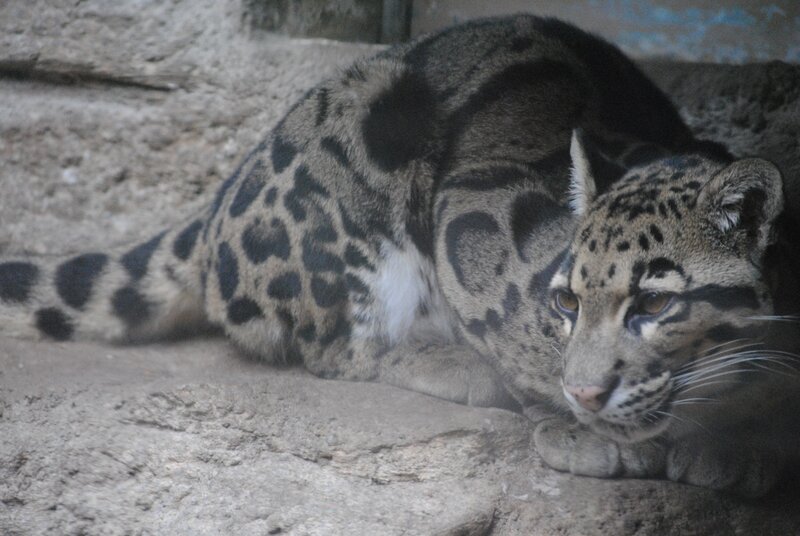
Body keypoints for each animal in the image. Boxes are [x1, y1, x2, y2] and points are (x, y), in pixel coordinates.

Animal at [1, 15, 798, 497]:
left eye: (656, 303)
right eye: (567, 301)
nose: (587, 395)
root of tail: (216, 207)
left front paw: (745, 448)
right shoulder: (478, 209)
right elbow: (511, 325)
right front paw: (576, 425)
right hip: (358, 151)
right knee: (333, 348)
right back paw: (445, 362)